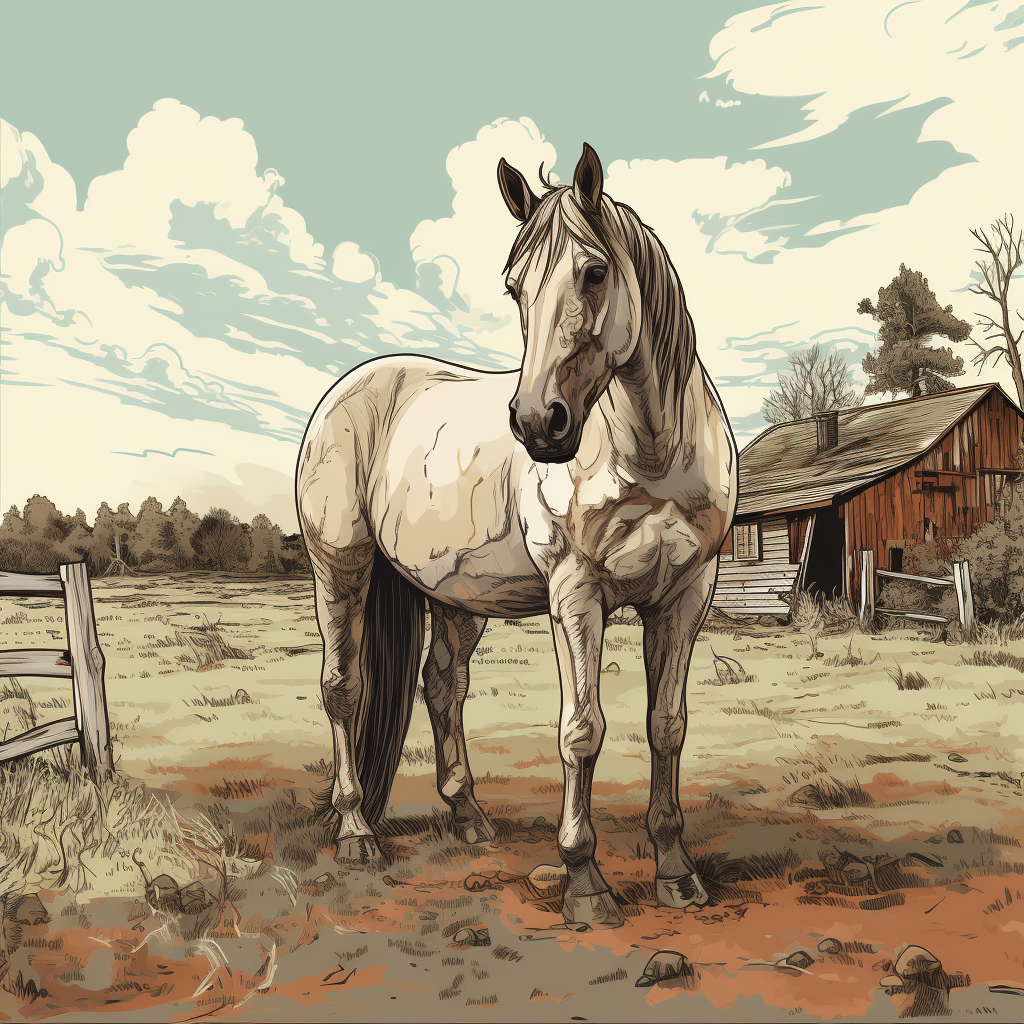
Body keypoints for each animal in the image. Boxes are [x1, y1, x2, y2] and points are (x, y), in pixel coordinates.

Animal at [296, 144, 737, 929]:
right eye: (513, 289)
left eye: (594, 272)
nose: (538, 424)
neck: (652, 454)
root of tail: (351, 388)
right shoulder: (576, 593)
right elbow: (582, 730)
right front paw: (585, 883)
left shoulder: (686, 594)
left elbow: (667, 725)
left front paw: (677, 873)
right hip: (339, 569)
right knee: (343, 689)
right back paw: (354, 831)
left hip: (453, 594)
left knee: (442, 684)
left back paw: (468, 817)